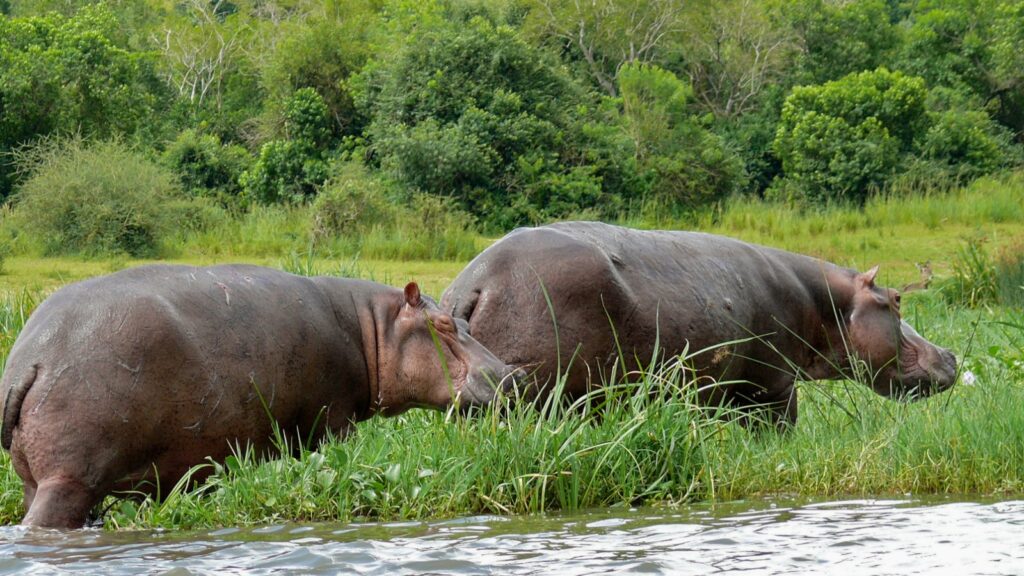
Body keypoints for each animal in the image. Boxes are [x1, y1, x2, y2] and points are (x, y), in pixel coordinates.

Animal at [1, 264, 521, 529]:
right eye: (444, 324)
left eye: (465, 320)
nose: (509, 375)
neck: (370, 325)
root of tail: (29, 358)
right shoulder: (332, 421)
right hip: (68, 479)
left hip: (34, 478)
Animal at [441, 221, 957, 424]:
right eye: (896, 300)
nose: (952, 354)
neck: (826, 300)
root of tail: (472, 284)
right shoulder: (772, 385)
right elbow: (778, 427)